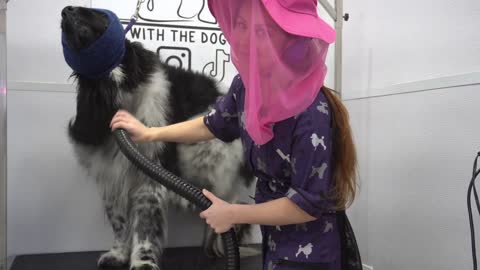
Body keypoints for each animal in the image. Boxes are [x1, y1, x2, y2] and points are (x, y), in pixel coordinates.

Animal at [62, 5, 256, 270]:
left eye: (96, 14)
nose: (65, 10)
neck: (115, 89)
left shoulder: (149, 178)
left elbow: (145, 227)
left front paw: (143, 261)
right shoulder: (110, 177)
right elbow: (118, 221)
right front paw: (118, 254)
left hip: (214, 158)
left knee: (232, 203)